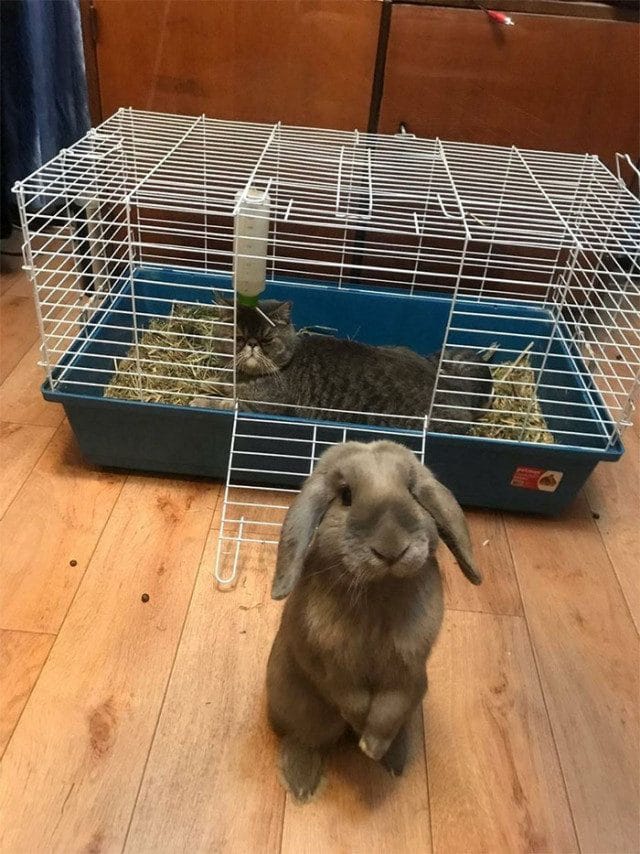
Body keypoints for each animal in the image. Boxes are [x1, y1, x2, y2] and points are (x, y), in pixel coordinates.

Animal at [264, 442, 480, 804]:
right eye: (346, 496)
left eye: (413, 493)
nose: (391, 548)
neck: (380, 591)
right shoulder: (330, 667)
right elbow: (350, 697)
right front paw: (361, 732)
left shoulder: (408, 673)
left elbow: (388, 709)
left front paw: (371, 747)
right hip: (298, 707)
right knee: (304, 738)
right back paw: (302, 784)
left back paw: (394, 759)